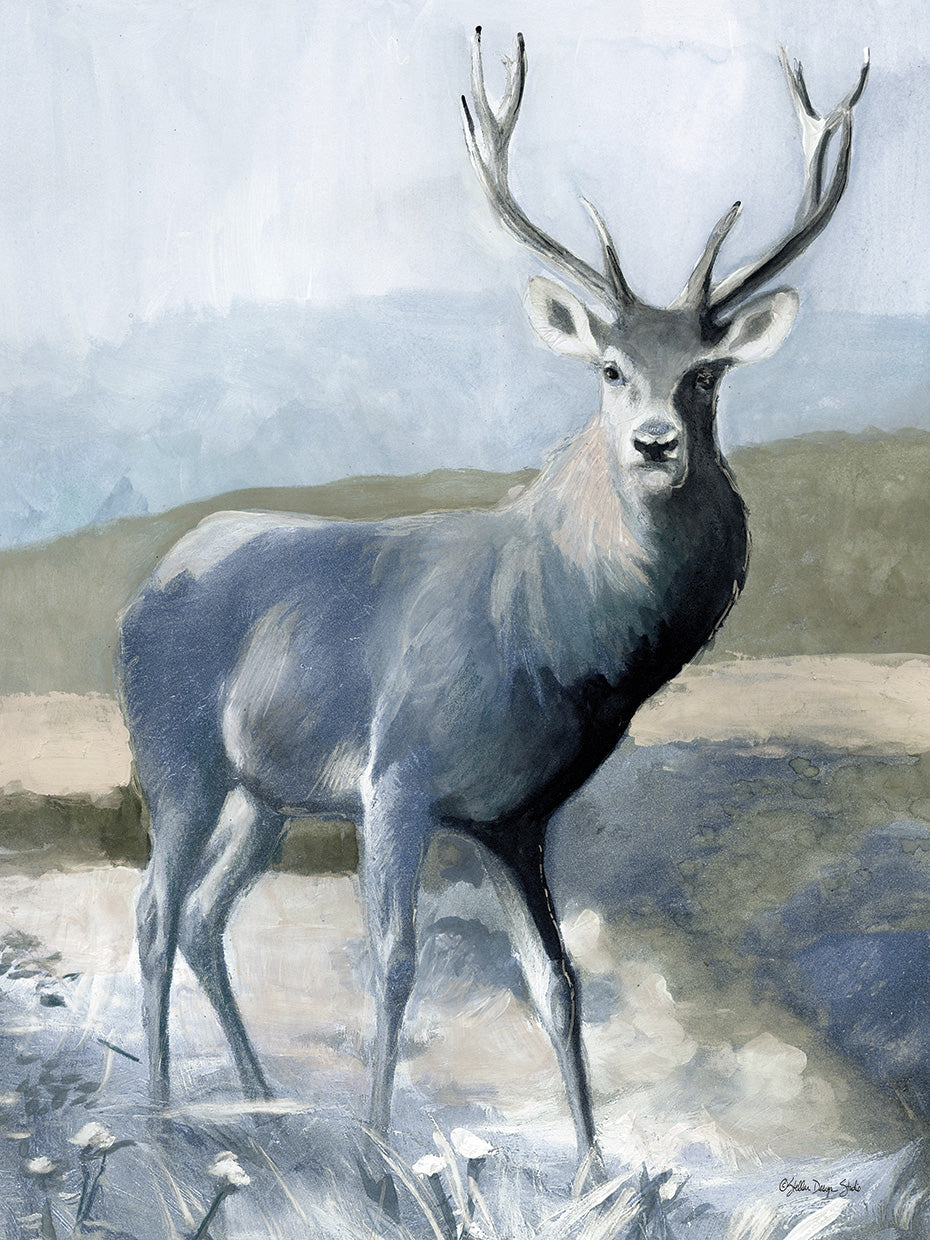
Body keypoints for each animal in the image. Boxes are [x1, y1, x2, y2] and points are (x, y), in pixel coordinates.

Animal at [116, 29, 868, 1191]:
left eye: (705, 375)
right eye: (610, 367)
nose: (656, 443)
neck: (552, 644)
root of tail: (150, 580)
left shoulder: (518, 816)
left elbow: (556, 982)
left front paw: (595, 1167)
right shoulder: (398, 773)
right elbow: (393, 961)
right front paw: (381, 1155)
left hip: (269, 793)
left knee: (202, 916)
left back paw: (258, 1097)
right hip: (176, 754)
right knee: (155, 912)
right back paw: (159, 1115)